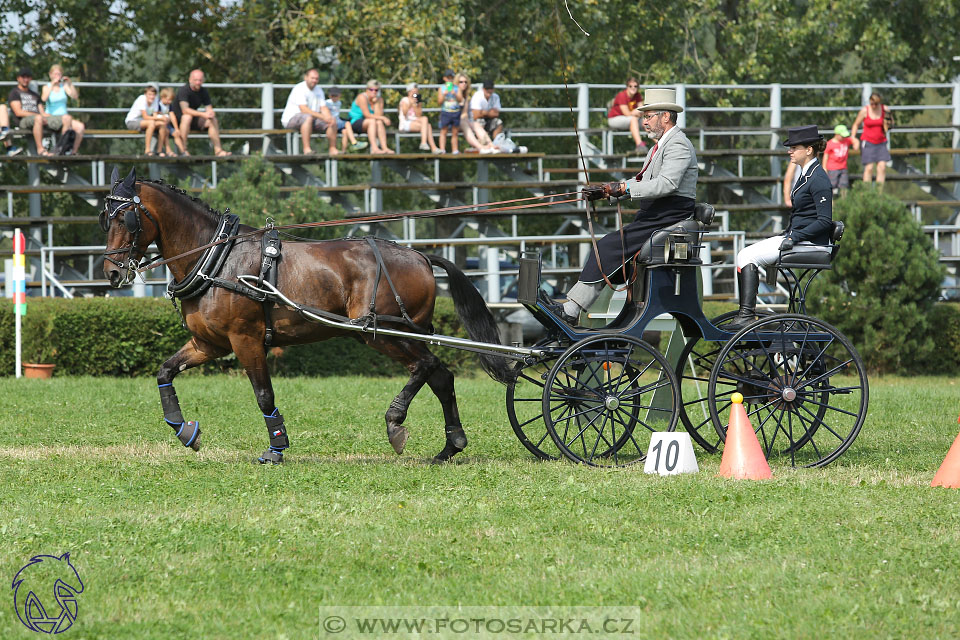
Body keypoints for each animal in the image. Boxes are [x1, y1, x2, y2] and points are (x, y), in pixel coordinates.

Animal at [101, 168, 512, 462]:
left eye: (127, 219)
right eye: (106, 218)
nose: (112, 274)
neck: (216, 258)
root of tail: (421, 256)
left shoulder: (245, 340)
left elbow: (263, 394)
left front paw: (276, 447)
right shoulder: (209, 343)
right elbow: (165, 371)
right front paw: (185, 431)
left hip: (382, 332)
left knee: (425, 367)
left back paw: (396, 422)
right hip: (400, 333)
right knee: (440, 375)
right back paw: (450, 446)